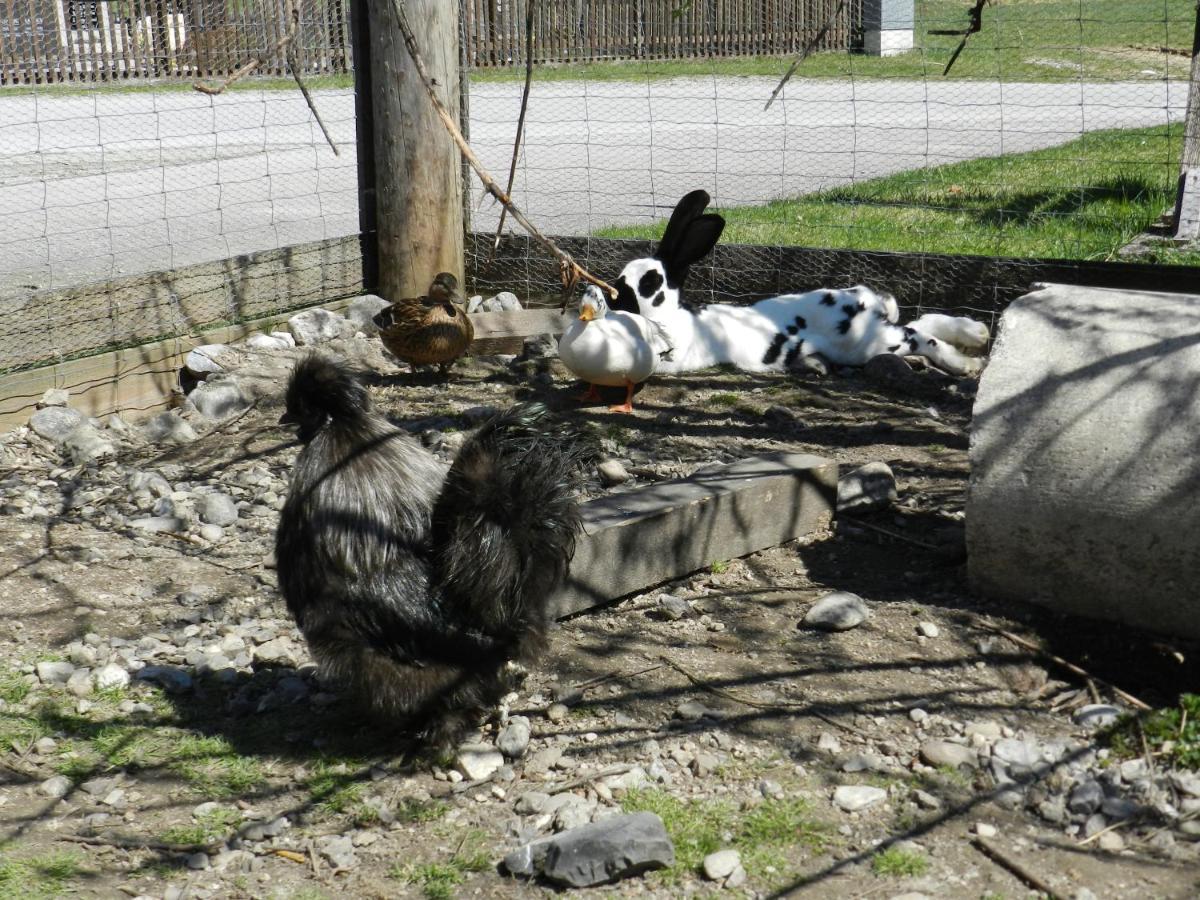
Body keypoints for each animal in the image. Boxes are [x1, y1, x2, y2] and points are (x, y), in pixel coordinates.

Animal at [614, 192, 988, 379]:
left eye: (648, 283)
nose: (616, 298)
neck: (672, 319)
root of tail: (862, 302)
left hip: (865, 344)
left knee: (920, 336)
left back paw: (965, 364)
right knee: (921, 322)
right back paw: (977, 333)